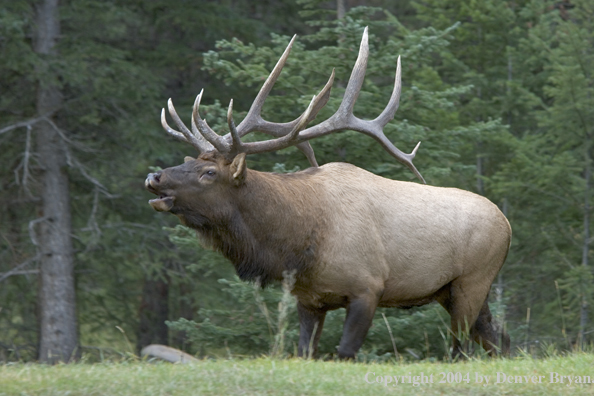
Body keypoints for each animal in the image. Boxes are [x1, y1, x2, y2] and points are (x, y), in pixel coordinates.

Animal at [145, 28, 508, 358]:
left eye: (209, 173)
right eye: (188, 160)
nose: (154, 176)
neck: (296, 243)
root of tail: (507, 224)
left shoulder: (368, 287)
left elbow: (345, 352)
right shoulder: (309, 299)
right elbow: (305, 352)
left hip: (473, 281)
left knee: (461, 348)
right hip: (454, 291)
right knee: (497, 340)